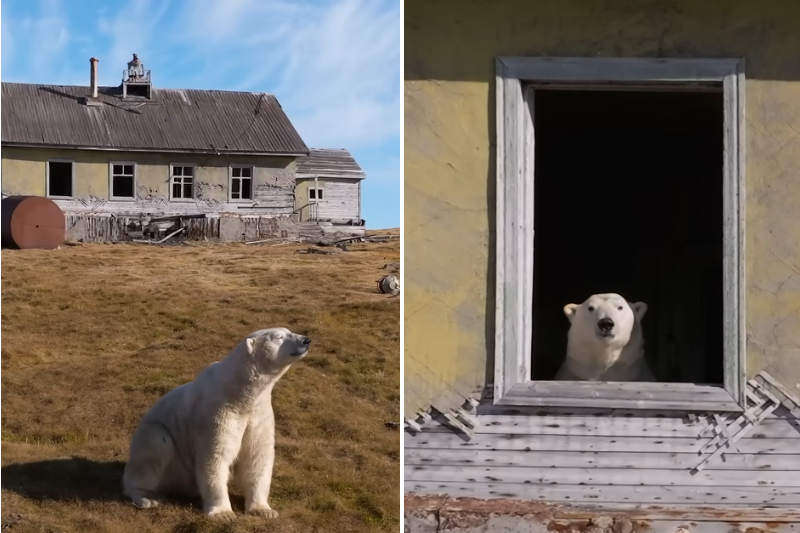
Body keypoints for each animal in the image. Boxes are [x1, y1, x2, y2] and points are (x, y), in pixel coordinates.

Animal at [122, 327, 312, 521]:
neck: (240, 392)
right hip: (155, 440)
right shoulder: (217, 411)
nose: (306, 340)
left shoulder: (259, 412)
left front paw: (264, 510)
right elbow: (215, 456)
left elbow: (257, 455)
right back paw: (148, 497)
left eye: (289, 331)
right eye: (280, 337)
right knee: (154, 449)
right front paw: (224, 514)